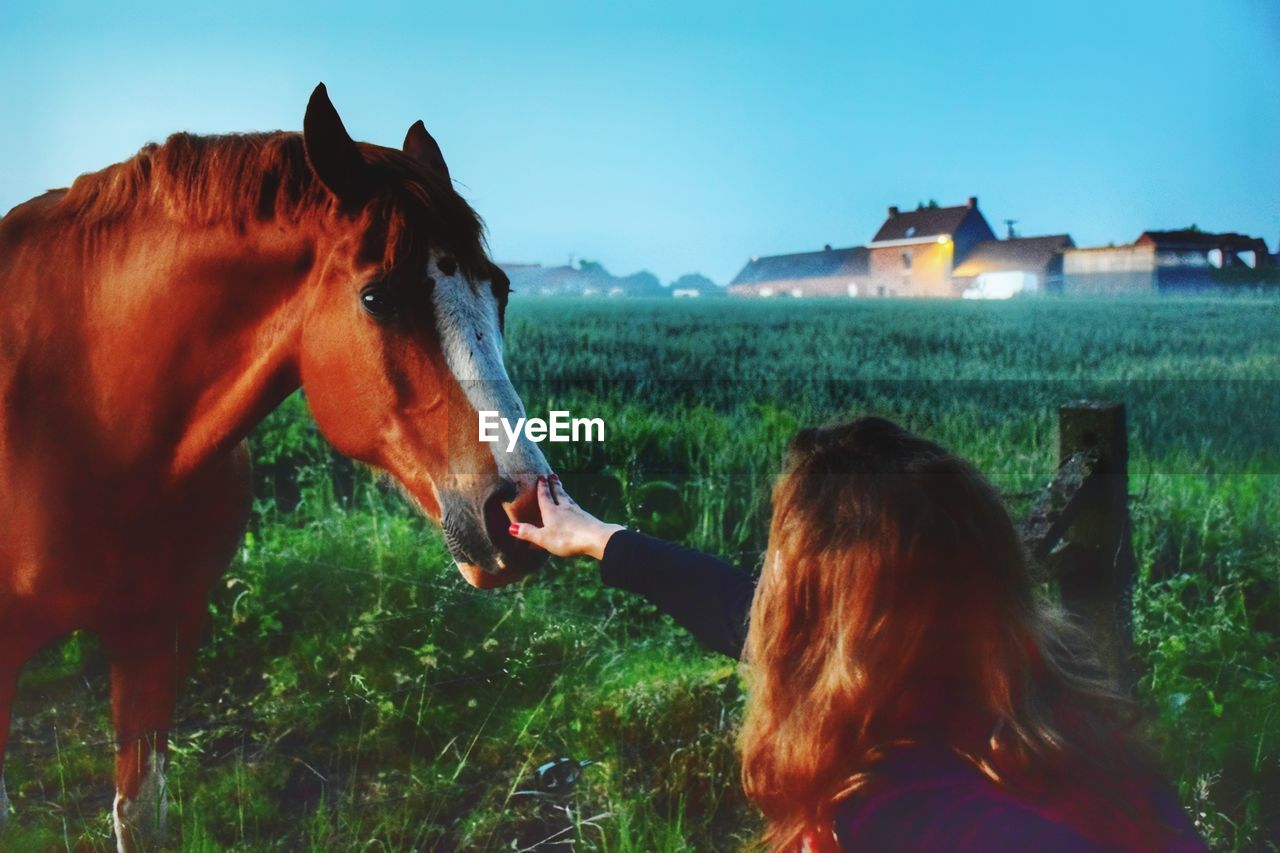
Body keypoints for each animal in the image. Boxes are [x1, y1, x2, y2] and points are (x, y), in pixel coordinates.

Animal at [0, 83, 550, 845]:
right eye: (377, 296)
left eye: (499, 289)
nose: (520, 509)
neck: (88, 410)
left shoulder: (154, 635)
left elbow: (140, 816)